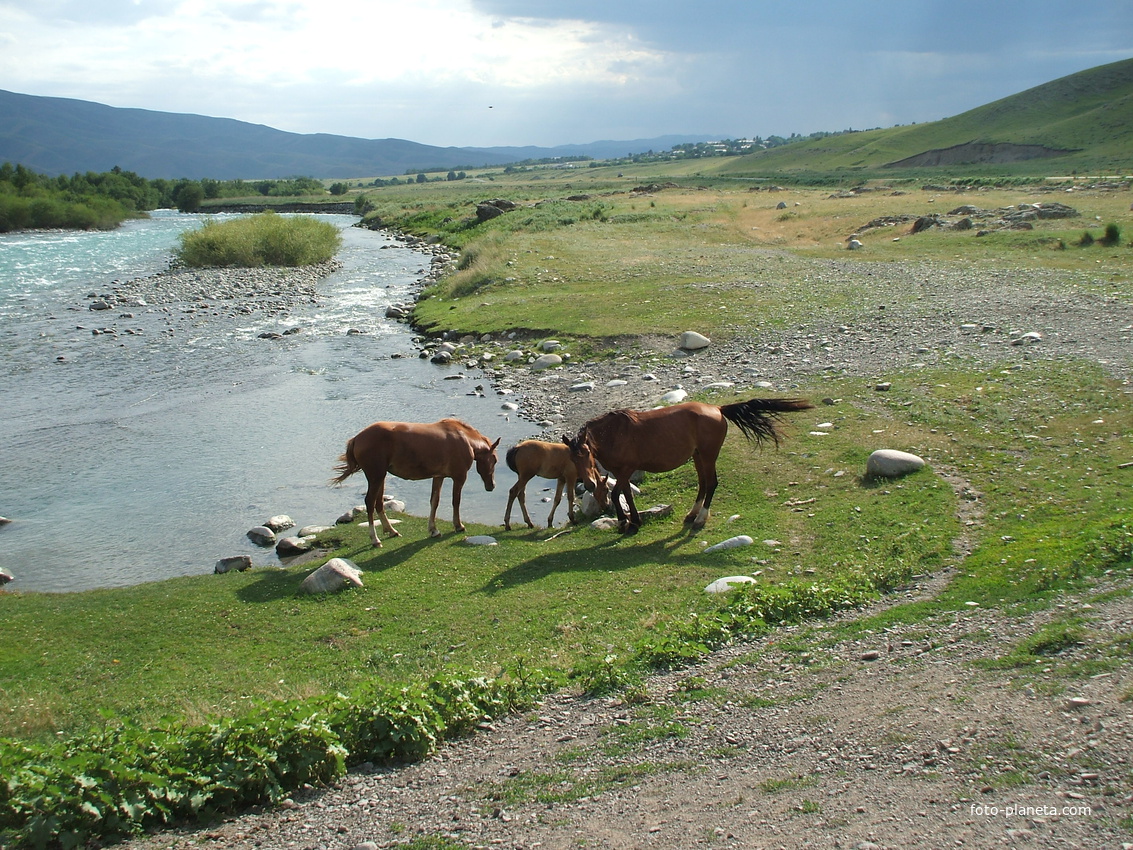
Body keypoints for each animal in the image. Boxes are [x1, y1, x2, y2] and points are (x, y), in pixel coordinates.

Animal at [330, 417, 500, 548]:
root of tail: (357, 438)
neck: (464, 439)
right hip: (376, 477)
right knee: (370, 503)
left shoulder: (438, 476)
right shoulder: (459, 477)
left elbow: (434, 501)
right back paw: (375, 539)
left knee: (378, 504)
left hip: (380, 478)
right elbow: (456, 501)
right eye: (495, 460)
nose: (491, 485)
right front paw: (458, 526)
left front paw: (433, 530)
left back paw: (391, 531)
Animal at [566, 398, 815, 532]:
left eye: (586, 453)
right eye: (572, 458)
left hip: (708, 455)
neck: (615, 433)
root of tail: (718, 409)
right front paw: (633, 521)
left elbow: (618, 494)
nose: (588, 485)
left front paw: (625, 524)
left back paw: (701, 518)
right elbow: (626, 494)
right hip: (697, 456)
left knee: (711, 483)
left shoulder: (626, 470)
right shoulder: (621, 472)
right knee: (703, 484)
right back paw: (692, 514)